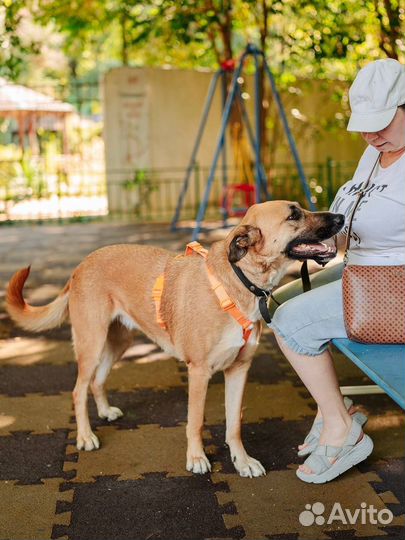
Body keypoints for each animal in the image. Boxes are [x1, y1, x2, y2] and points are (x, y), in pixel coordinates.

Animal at [5, 201, 340, 476]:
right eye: (294, 215)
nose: (339, 217)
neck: (236, 282)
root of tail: (81, 265)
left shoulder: (239, 370)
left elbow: (234, 425)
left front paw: (241, 462)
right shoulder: (199, 372)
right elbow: (195, 421)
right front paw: (196, 458)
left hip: (119, 342)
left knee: (97, 382)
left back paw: (105, 412)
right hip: (92, 343)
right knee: (77, 391)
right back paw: (86, 436)